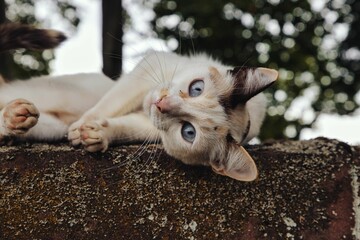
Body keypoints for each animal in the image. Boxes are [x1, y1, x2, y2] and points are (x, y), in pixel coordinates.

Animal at [0, 24, 278, 182]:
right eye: (196, 88)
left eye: (189, 132)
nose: (162, 103)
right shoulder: (148, 70)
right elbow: (109, 104)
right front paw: (83, 127)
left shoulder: (148, 128)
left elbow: (123, 127)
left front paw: (96, 136)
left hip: (51, 125)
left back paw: (16, 119)